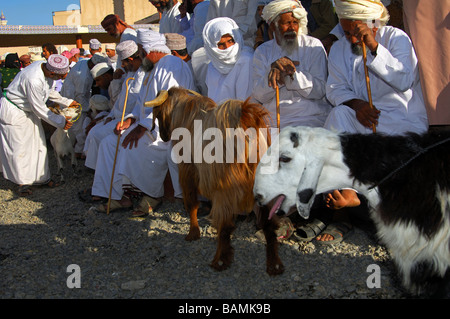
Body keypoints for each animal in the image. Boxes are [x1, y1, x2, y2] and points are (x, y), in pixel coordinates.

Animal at [146, 87, 284, 276]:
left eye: (158, 114)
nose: (163, 136)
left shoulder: (188, 169)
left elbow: (192, 203)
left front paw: (193, 233)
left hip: (226, 187)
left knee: (226, 225)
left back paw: (220, 260)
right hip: (264, 184)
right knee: (269, 224)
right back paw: (274, 265)